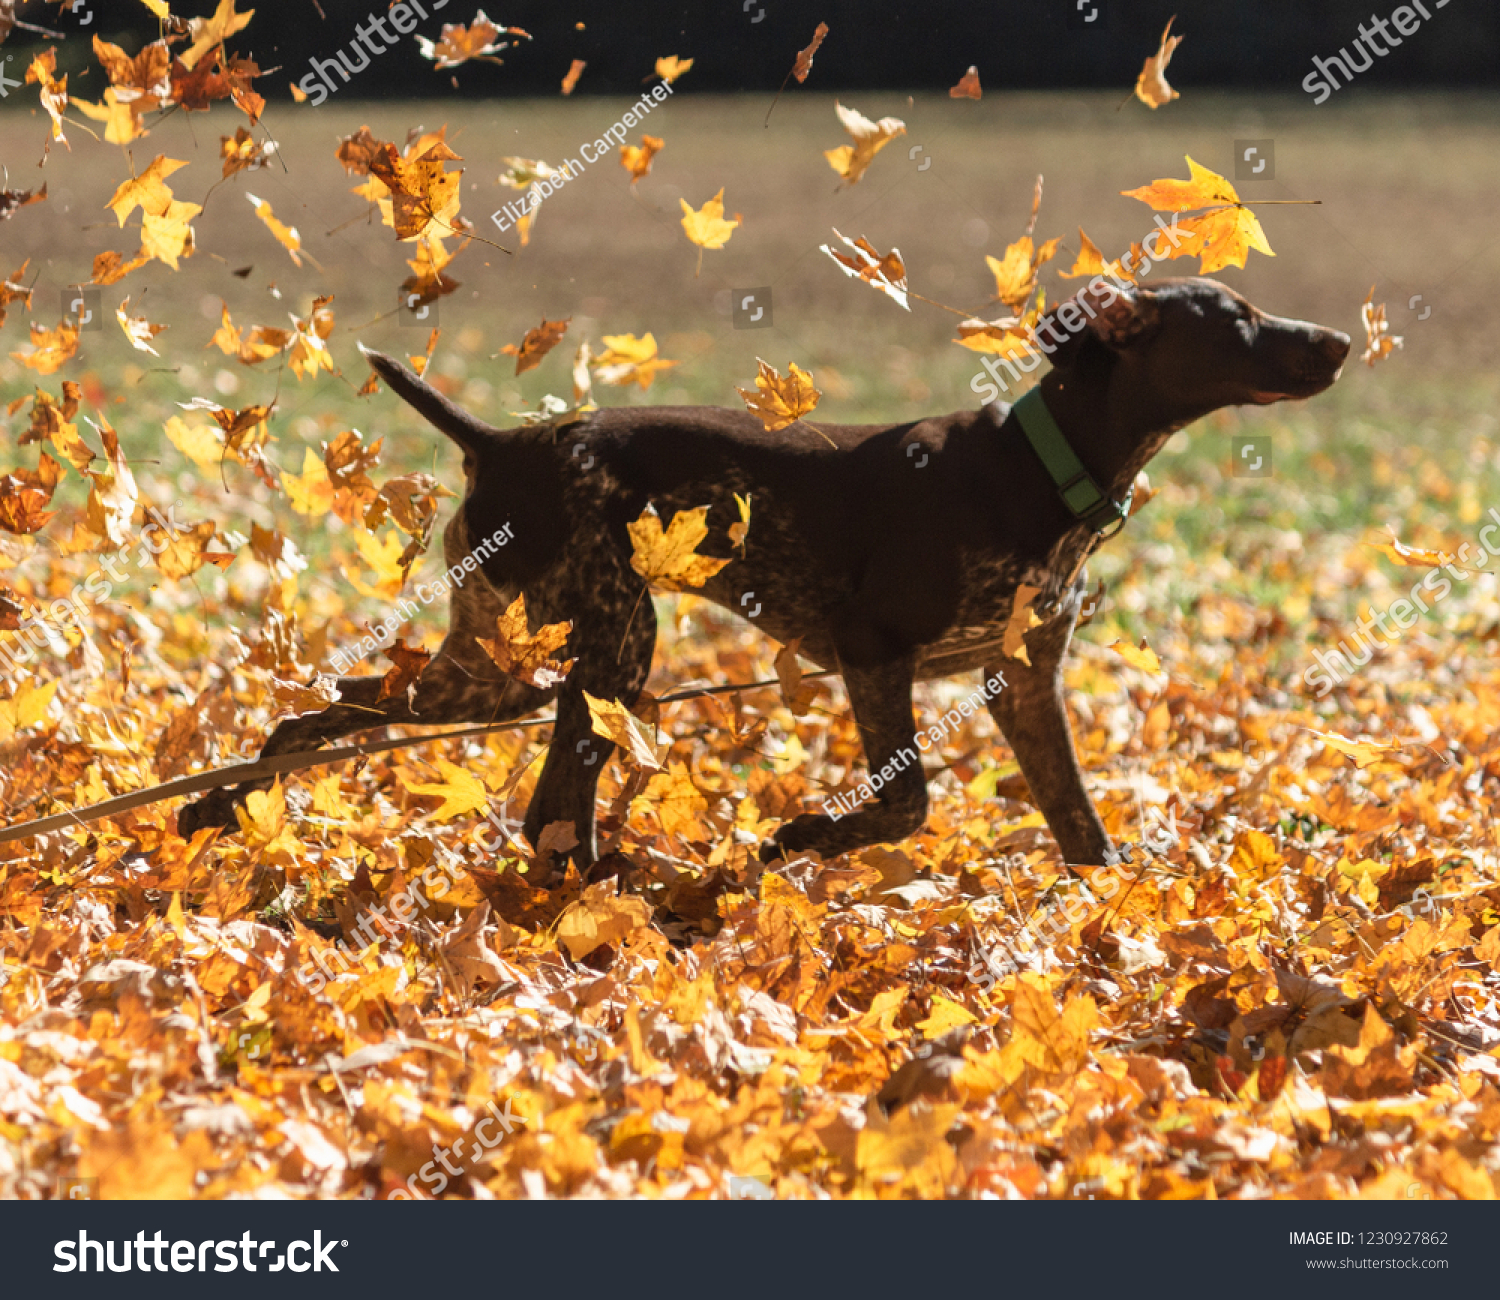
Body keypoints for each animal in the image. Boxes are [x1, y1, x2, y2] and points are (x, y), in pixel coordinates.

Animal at [181, 280, 1356, 881]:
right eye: (1238, 318)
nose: (1342, 338)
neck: (1042, 466)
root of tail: (502, 441)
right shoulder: (874, 652)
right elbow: (908, 804)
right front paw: (801, 838)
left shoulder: (1023, 683)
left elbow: (1081, 829)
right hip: (597, 646)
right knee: (427, 753)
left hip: (532, 662)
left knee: (367, 726)